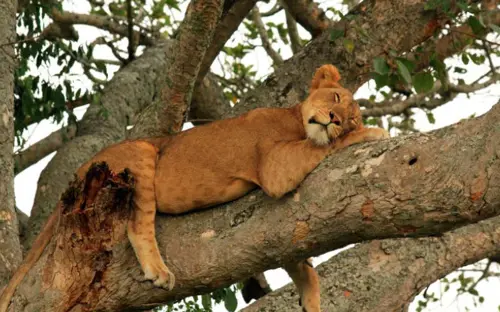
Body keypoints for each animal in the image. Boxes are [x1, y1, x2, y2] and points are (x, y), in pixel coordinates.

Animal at [0, 64, 388, 312]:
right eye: (336, 98)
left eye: (350, 116)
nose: (336, 121)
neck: (293, 117)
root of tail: (84, 164)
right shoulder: (273, 165)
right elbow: (320, 146)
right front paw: (374, 133)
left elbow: (294, 255)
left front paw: (311, 298)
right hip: (141, 153)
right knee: (137, 225)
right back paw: (158, 271)